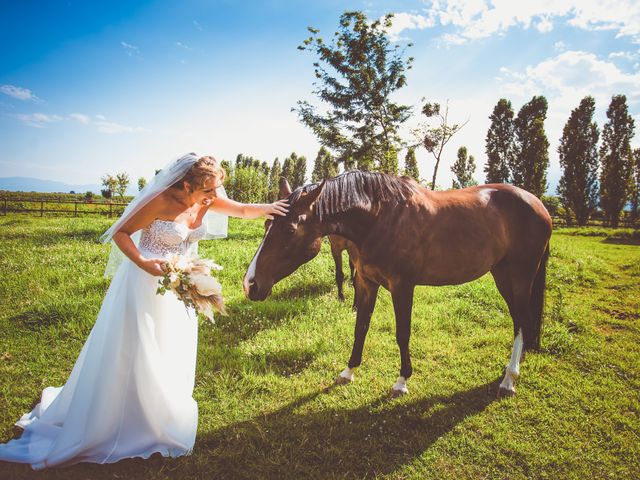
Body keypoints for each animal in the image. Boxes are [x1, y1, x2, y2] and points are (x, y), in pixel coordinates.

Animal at [242, 172, 552, 398]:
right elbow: (361, 327)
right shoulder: (367, 283)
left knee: (522, 320)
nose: (250, 285)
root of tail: (538, 204)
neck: (378, 218)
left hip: (521, 276)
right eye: (266, 225)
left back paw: (509, 379)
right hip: (502, 274)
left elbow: (402, 333)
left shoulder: (403, 287)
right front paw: (349, 371)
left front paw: (402, 381)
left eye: (290, 229)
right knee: (520, 321)